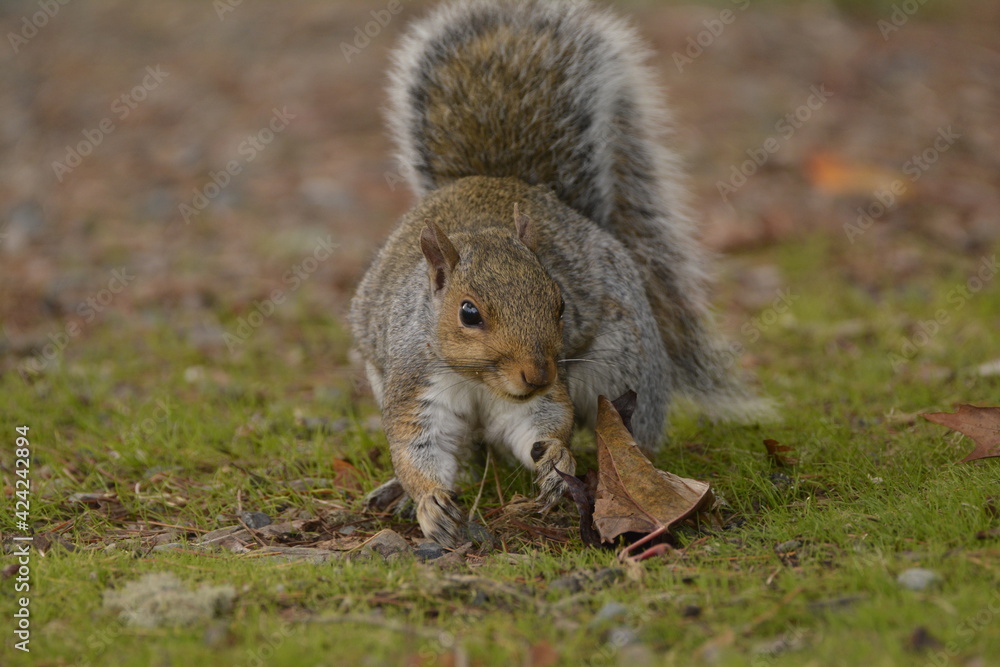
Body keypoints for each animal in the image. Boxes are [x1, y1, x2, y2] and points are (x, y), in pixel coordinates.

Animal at [350, 0, 767, 547]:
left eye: (560, 304)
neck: (481, 380)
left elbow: (542, 424)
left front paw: (557, 463)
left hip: (623, 365)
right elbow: (418, 446)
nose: (538, 373)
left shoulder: (540, 397)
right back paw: (397, 491)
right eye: (468, 313)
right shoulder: (415, 382)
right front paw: (428, 502)